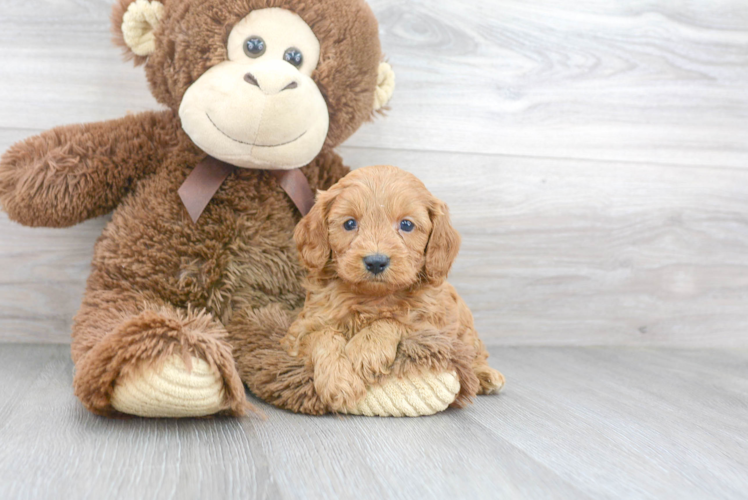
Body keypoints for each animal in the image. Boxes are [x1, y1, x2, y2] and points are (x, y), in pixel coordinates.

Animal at [284, 166, 506, 412]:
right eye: (350, 224)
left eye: (406, 225)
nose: (376, 261)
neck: (373, 298)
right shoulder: (299, 331)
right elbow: (323, 335)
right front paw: (338, 382)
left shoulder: (431, 326)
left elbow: (394, 320)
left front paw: (365, 351)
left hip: (464, 327)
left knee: (474, 352)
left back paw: (486, 374)